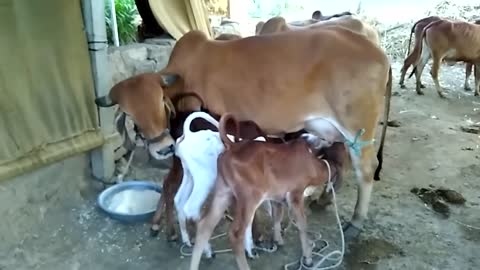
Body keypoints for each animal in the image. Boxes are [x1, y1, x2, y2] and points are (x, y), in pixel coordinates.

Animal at [156, 26, 392, 239]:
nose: (163, 144)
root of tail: (377, 52)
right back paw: (323, 200)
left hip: (357, 127)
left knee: (366, 168)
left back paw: (355, 222)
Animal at [188, 113, 348, 270]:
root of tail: (232, 146)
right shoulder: (295, 194)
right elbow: (303, 225)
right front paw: (308, 258)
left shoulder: (277, 197)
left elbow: (277, 216)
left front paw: (278, 240)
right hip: (250, 197)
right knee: (236, 233)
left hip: (223, 192)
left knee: (204, 226)